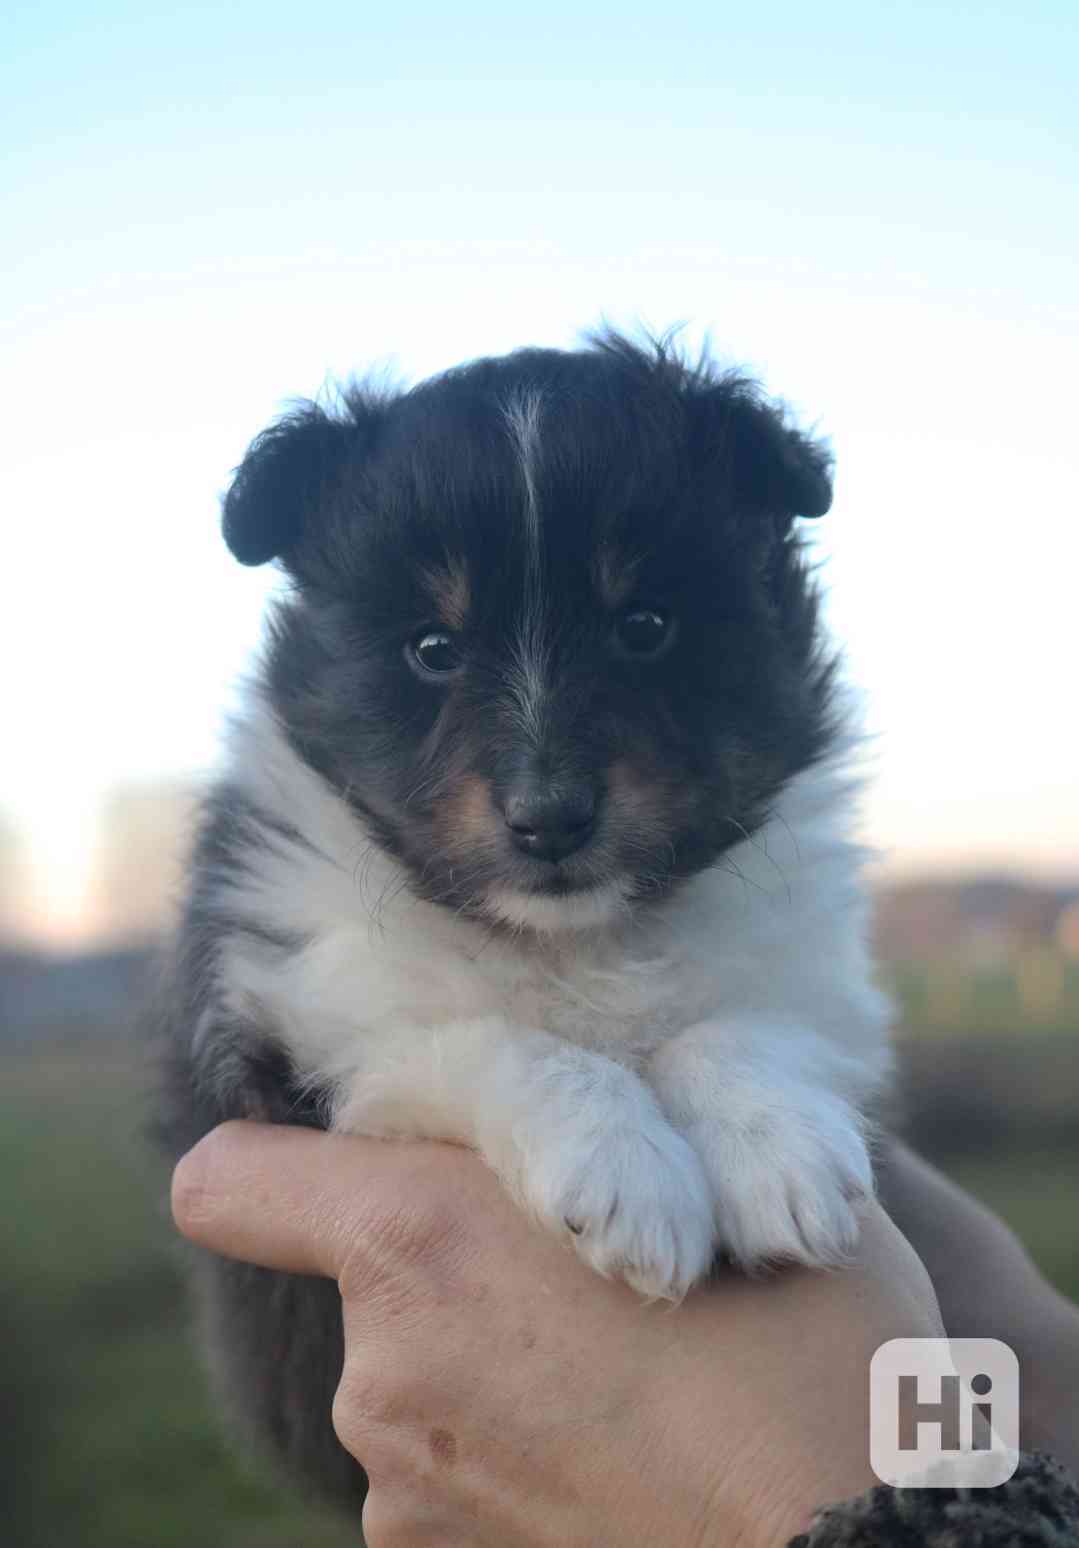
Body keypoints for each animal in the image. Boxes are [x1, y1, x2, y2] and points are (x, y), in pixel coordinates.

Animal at [157, 332, 885, 1504]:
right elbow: (498, 1040)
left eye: (645, 626)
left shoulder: (818, 978)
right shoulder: (289, 1032)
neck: (575, 937)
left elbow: (738, 1026)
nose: (549, 818)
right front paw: (632, 1177)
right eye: (431, 649)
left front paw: (779, 1162)